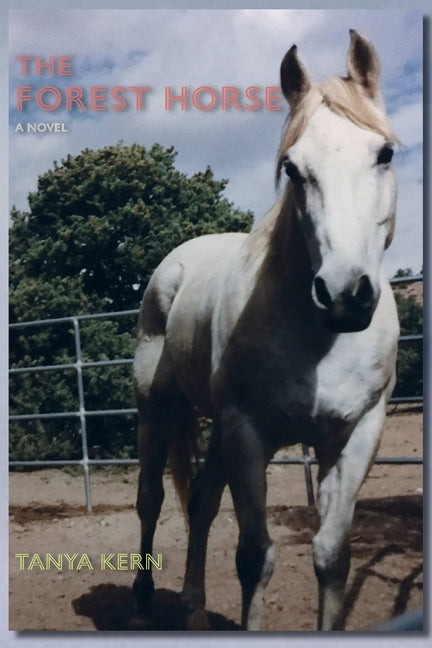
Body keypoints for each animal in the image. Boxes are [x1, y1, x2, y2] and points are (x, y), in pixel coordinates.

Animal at [131, 29, 399, 631]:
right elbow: (254, 558)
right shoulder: (248, 432)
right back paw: (141, 602)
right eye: (294, 169)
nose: (345, 294)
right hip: (159, 409)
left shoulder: (356, 435)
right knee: (151, 500)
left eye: (385, 153)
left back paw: (194, 610)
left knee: (202, 503)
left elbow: (332, 556)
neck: (319, 339)